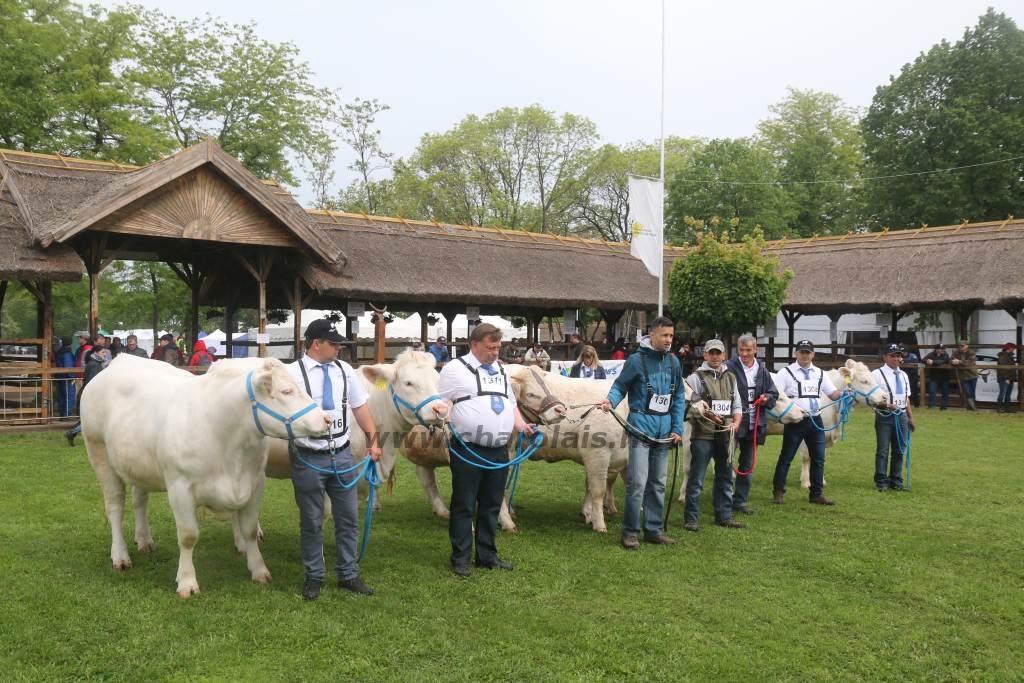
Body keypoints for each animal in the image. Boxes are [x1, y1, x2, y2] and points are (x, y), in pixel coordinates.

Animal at [81, 356, 325, 593]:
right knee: (115, 507)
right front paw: (187, 582)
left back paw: (144, 541)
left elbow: (249, 530)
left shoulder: (255, 482)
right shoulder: (180, 487)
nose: (327, 419)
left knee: (139, 500)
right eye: (287, 391)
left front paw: (259, 570)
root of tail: (120, 360)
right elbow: (188, 536)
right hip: (99, 454)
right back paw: (120, 556)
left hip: (138, 463)